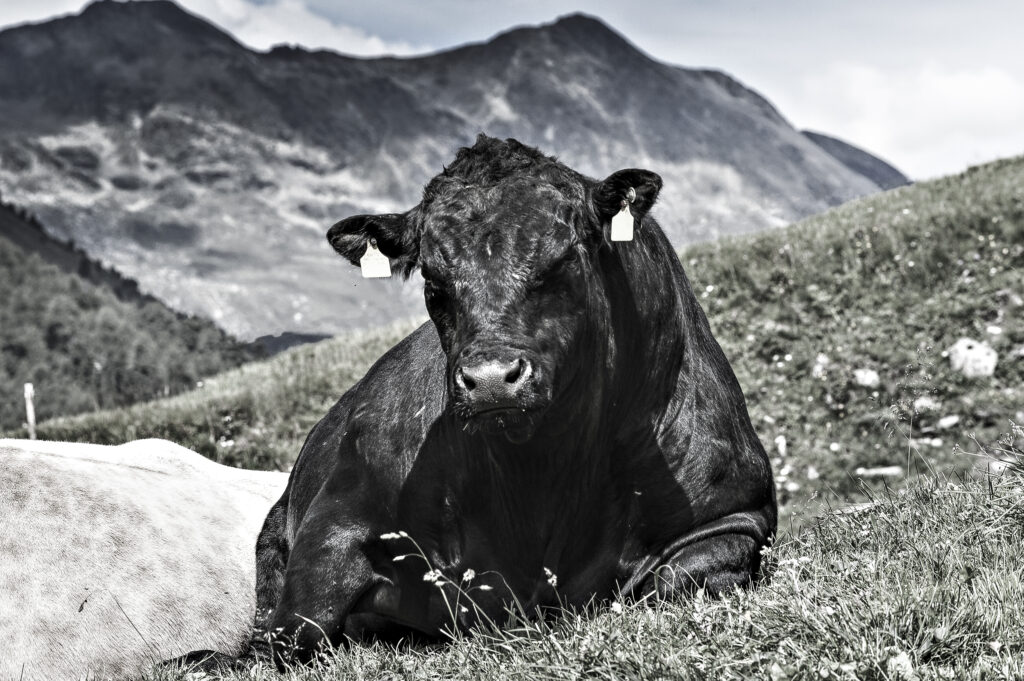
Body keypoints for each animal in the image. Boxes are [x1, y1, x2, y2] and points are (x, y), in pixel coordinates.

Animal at [245, 135, 776, 667]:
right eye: (432, 280)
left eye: (564, 257)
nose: (491, 380)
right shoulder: (332, 525)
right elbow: (291, 634)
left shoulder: (739, 514)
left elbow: (674, 580)